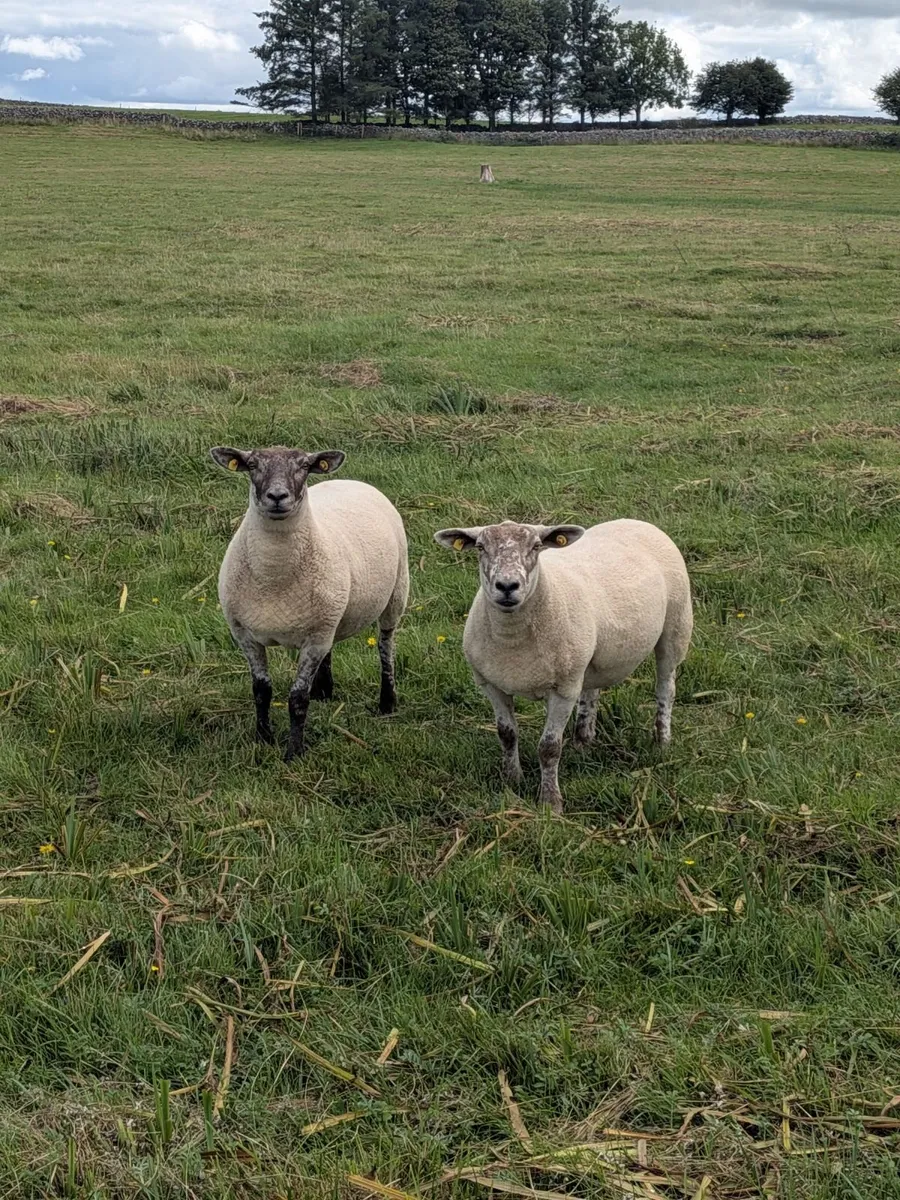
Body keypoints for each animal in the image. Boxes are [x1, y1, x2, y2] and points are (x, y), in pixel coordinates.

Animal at [211, 445, 409, 760]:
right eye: (252, 465)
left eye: (303, 467)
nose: (277, 496)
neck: (273, 575)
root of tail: (351, 480)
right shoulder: (244, 634)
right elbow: (261, 690)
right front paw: (263, 738)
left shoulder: (315, 638)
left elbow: (297, 699)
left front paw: (294, 752)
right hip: (330, 612)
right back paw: (324, 691)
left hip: (396, 593)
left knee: (386, 646)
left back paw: (387, 702)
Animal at [434, 519, 692, 812]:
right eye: (480, 547)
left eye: (536, 546)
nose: (507, 586)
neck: (512, 640)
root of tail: (637, 521)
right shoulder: (491, 684)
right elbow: (507, 734)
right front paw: (512, 779)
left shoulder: (564, 689)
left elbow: (549, 748)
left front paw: (550, 802)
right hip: (589, 654)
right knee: (592, 690)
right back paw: (583, 740)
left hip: (676, 625)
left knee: (666, 688)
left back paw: (662, 741)